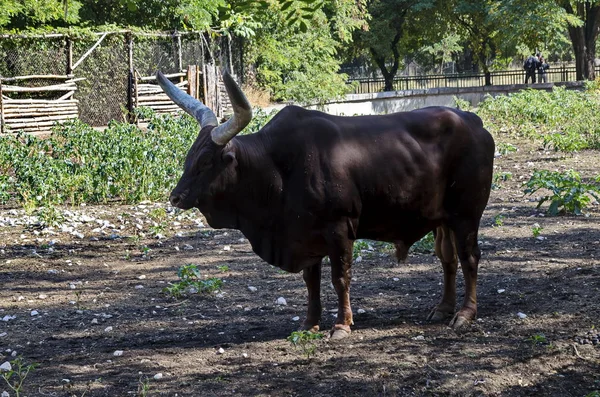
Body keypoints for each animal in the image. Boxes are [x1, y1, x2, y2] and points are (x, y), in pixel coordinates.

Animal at [157, 69, 494, 338]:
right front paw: (309, 323)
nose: (176, 196)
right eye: (189, 156)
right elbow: (311, 281)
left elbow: (339, 278)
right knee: (448, 259)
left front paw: (342, 324)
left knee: (469, 258)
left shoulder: (339, 229)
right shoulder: (304, 234)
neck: (276, 167)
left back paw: (464, 314)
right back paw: (443, 308)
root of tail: (473, 121)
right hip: (442, 219)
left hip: (466, 214)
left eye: (205, 161)